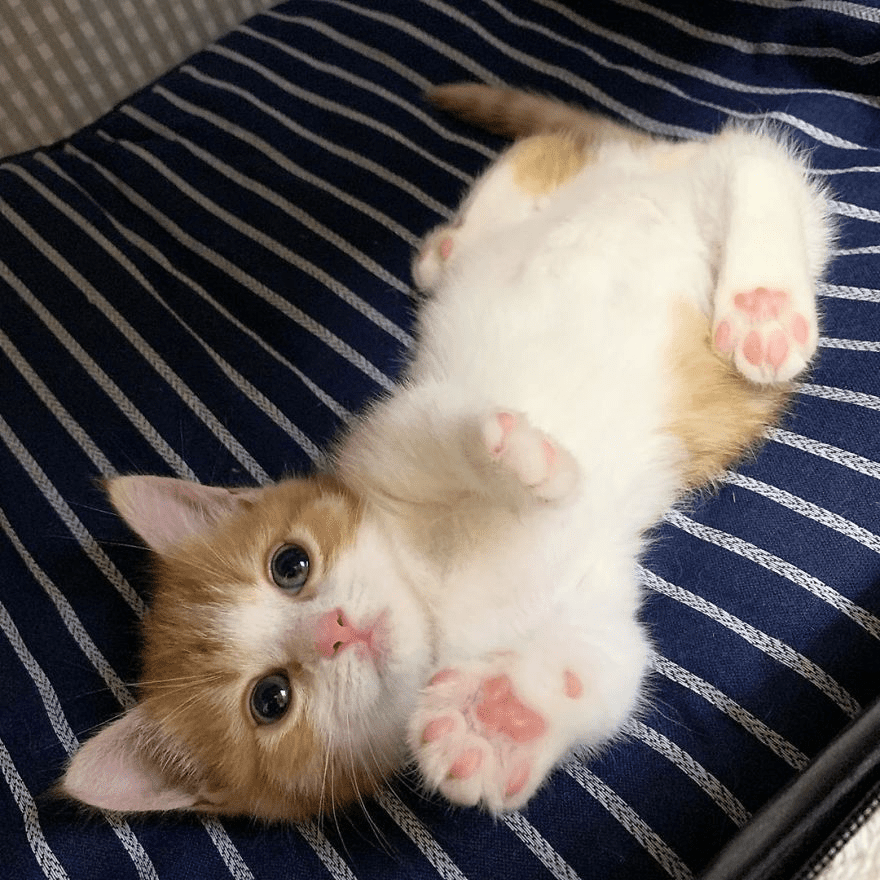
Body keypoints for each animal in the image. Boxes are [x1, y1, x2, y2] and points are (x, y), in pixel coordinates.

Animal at [60, 81, 832, 820]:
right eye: (271, 700)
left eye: (290, 564)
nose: (335, 631)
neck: (435, 591)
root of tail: (649, 154)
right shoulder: (586, 601)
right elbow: (607, 664)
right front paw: (497, 720)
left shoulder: (385, 434)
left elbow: (436, 431)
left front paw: (516, 458)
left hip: (648, 187)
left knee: (747, 158)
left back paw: (761, 307)